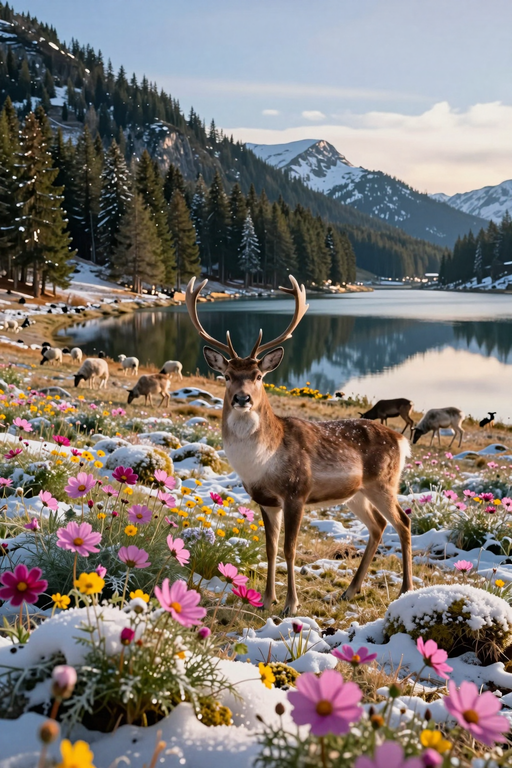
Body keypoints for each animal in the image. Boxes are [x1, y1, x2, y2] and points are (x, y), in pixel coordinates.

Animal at [186, 275, 413, 615]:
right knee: (377, 526)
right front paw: (266, 600)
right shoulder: (265, 500)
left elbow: (290, 548)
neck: (262, 462)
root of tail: (401, 440)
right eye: (226, 375)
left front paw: (290, 605)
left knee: (404, 522)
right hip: (356, 493)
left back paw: (405, 590)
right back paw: (350, 591)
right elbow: (269, 548)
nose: (242, 398)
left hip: (384, 482)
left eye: (258, 375)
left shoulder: (297, 492)